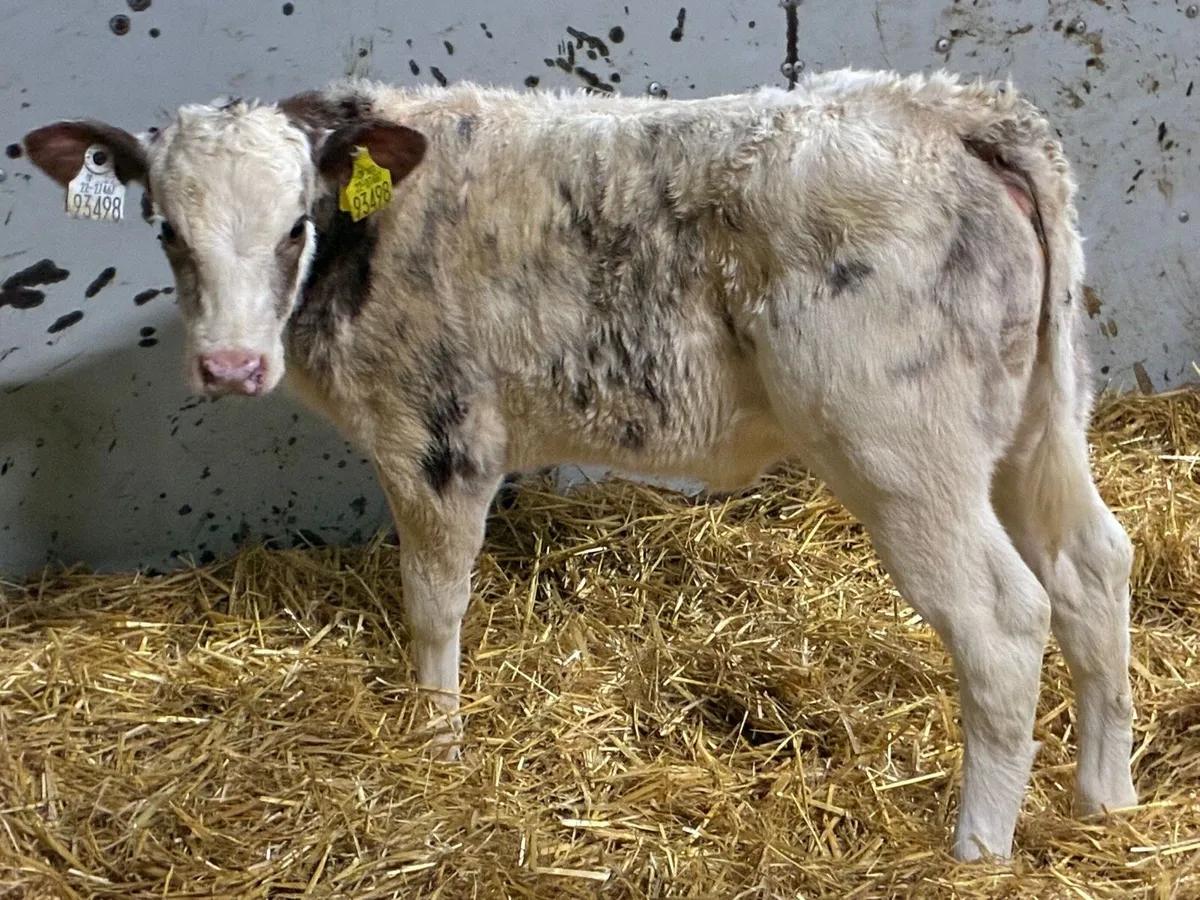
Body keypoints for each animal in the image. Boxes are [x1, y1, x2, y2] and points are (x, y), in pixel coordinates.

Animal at [21, 68, 1138, 861]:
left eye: (297, 222)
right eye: (167, 229)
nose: (230, 366)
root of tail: (951, 109)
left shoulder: (436, 436)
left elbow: (433, 604)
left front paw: (437, 748)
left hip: (903, 447)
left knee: (1003, 621)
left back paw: (975, 852)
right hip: (1033, 423)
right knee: (1092, 566)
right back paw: (1106, 802)